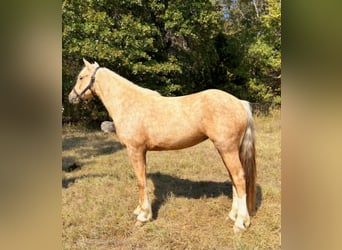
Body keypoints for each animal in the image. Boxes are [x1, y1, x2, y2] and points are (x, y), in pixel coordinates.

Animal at [69, 58, 256, 232]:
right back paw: (233, 215)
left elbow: (140, 181)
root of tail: (240, 103)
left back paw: (240, 223)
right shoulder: (142, 151)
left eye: (81, 77)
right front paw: (140, 210)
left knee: (239, 178)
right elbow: (143, 179)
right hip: (228, 150)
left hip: (227, 149)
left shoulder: (135, 150)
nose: (71, 97)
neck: (128, 103)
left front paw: (143, 217)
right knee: (234, 179)